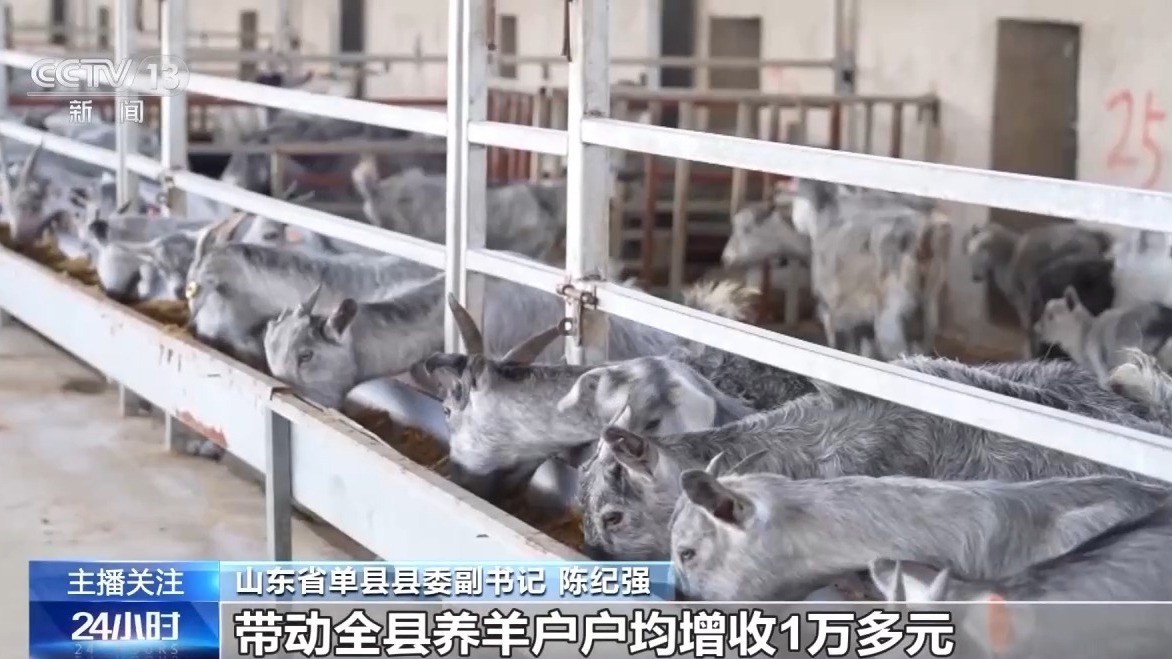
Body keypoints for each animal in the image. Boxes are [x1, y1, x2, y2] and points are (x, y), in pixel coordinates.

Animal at [964, 221, 1113, 358]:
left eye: (981, 252)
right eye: (973, 253)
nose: (975, 277)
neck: (1008, 259)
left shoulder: (1024, 302)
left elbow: (1029, 328)